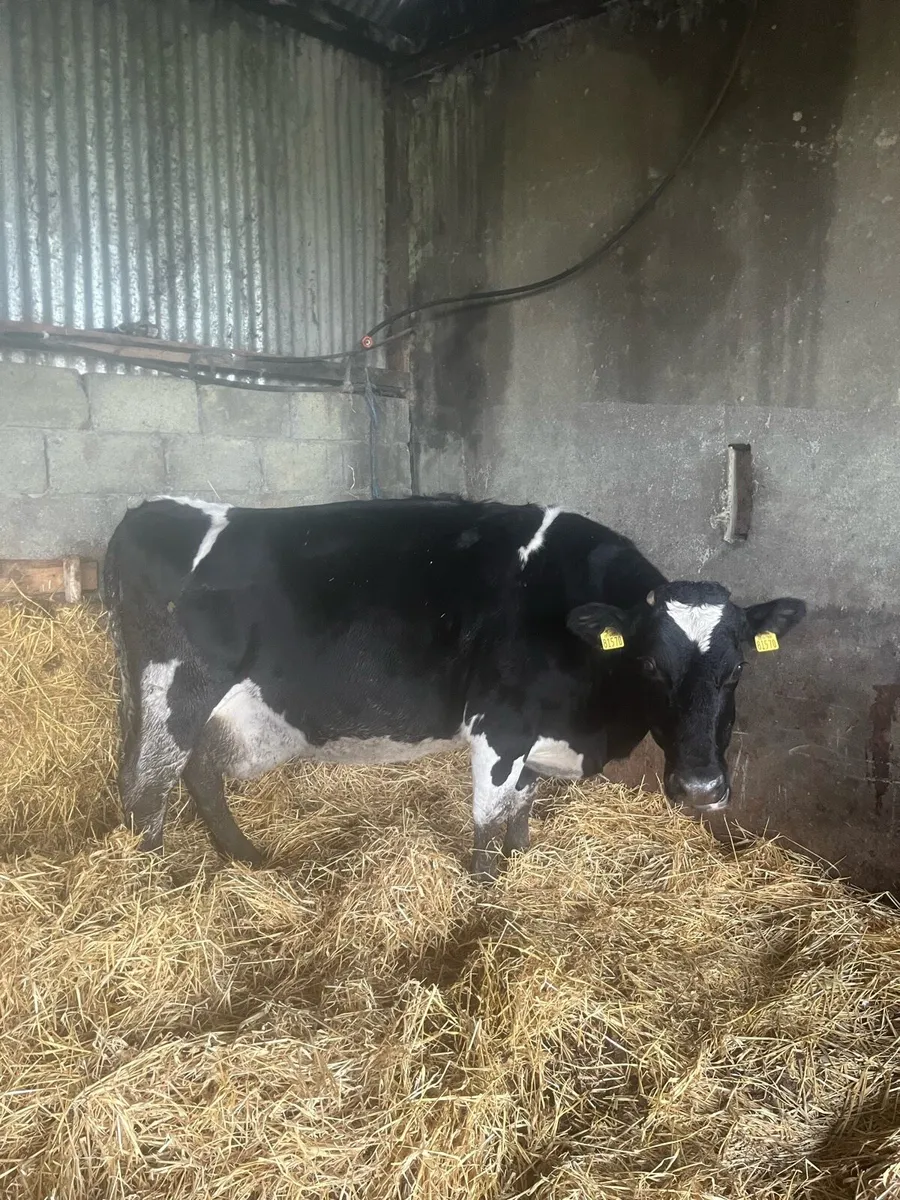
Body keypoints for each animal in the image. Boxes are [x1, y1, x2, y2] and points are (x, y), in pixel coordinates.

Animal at [102, 496, 806, 879]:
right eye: (652, 665)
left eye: (738, 668)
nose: (702, 789)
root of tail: (150, 511)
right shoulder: (502, 728)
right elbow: (488, 824)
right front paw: (487, 899)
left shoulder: (537, 741)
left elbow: (523, 810)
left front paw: (523, 865)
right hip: (173, 690)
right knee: (144, 786)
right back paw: (155, 884)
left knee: (198, 774)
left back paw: (245, 858)